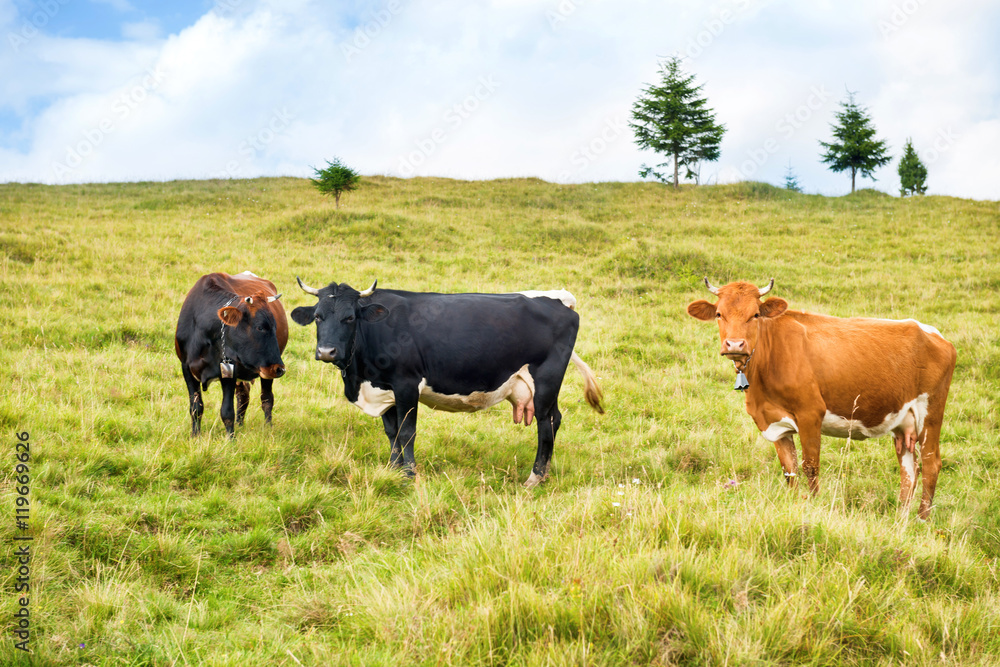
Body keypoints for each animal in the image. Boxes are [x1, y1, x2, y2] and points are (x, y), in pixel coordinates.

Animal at [290, 276, 600, 486]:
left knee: (545, 424)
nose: (326, 352)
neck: (360, 377)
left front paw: (410, 476)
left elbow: (407, 432)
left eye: (350, 317)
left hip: (546, 379)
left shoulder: (406, 384)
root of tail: (560, 298)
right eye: (317, 317)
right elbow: (391, 433)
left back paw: (534, 478)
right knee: (555, 419)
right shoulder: (384, 389)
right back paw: (544, 473)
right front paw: (393, 471)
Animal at [688, 280, 952, 520]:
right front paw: (793, 504)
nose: (734, 344)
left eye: (755, 314)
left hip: (930, 414)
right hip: (903, 422)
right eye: (719, 314)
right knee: (909, 469)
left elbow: (810, 466)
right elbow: (789, 470)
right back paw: (901, 519)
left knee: (930, 463)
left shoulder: (810, 413)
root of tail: (932, 332)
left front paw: (813, 506)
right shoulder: (775, 424)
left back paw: (921, 519)